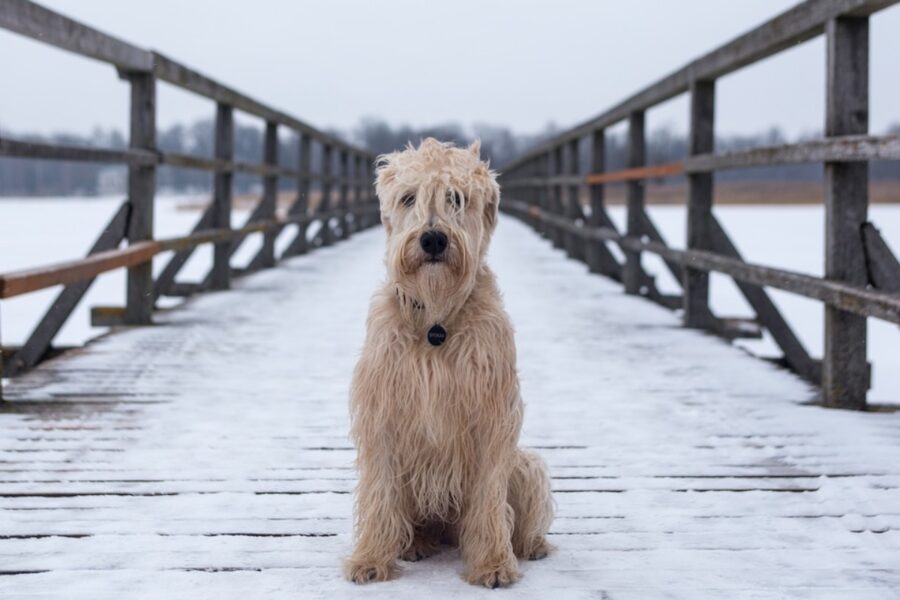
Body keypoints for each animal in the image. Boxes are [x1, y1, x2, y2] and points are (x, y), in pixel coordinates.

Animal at [344, 137, 556, 584]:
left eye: (456, 198)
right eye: (409, 197)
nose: (433, 240)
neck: (436, 320)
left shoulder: (493, 417)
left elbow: (490, 499)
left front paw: (493, 562)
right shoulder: (382, 413)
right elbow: (380, 492)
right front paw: (370, 558)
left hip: (526, 464)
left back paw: (531, 544)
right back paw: (415, 543)